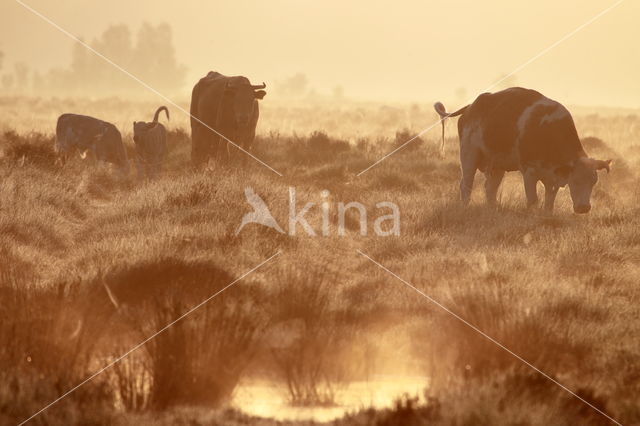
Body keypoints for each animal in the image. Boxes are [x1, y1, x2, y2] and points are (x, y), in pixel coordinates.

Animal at [436, 86, 608, 213]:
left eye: (594, 181)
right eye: (576, 180)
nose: (584, 208)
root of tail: (471, 107)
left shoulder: (552, 177)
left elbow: (549, 202)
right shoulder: (529, 172)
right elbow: (533, 201)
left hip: (497, 166)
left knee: (490, 189)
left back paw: (492, 209)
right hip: (468, 156)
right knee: (466, 185)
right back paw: (465, 208)